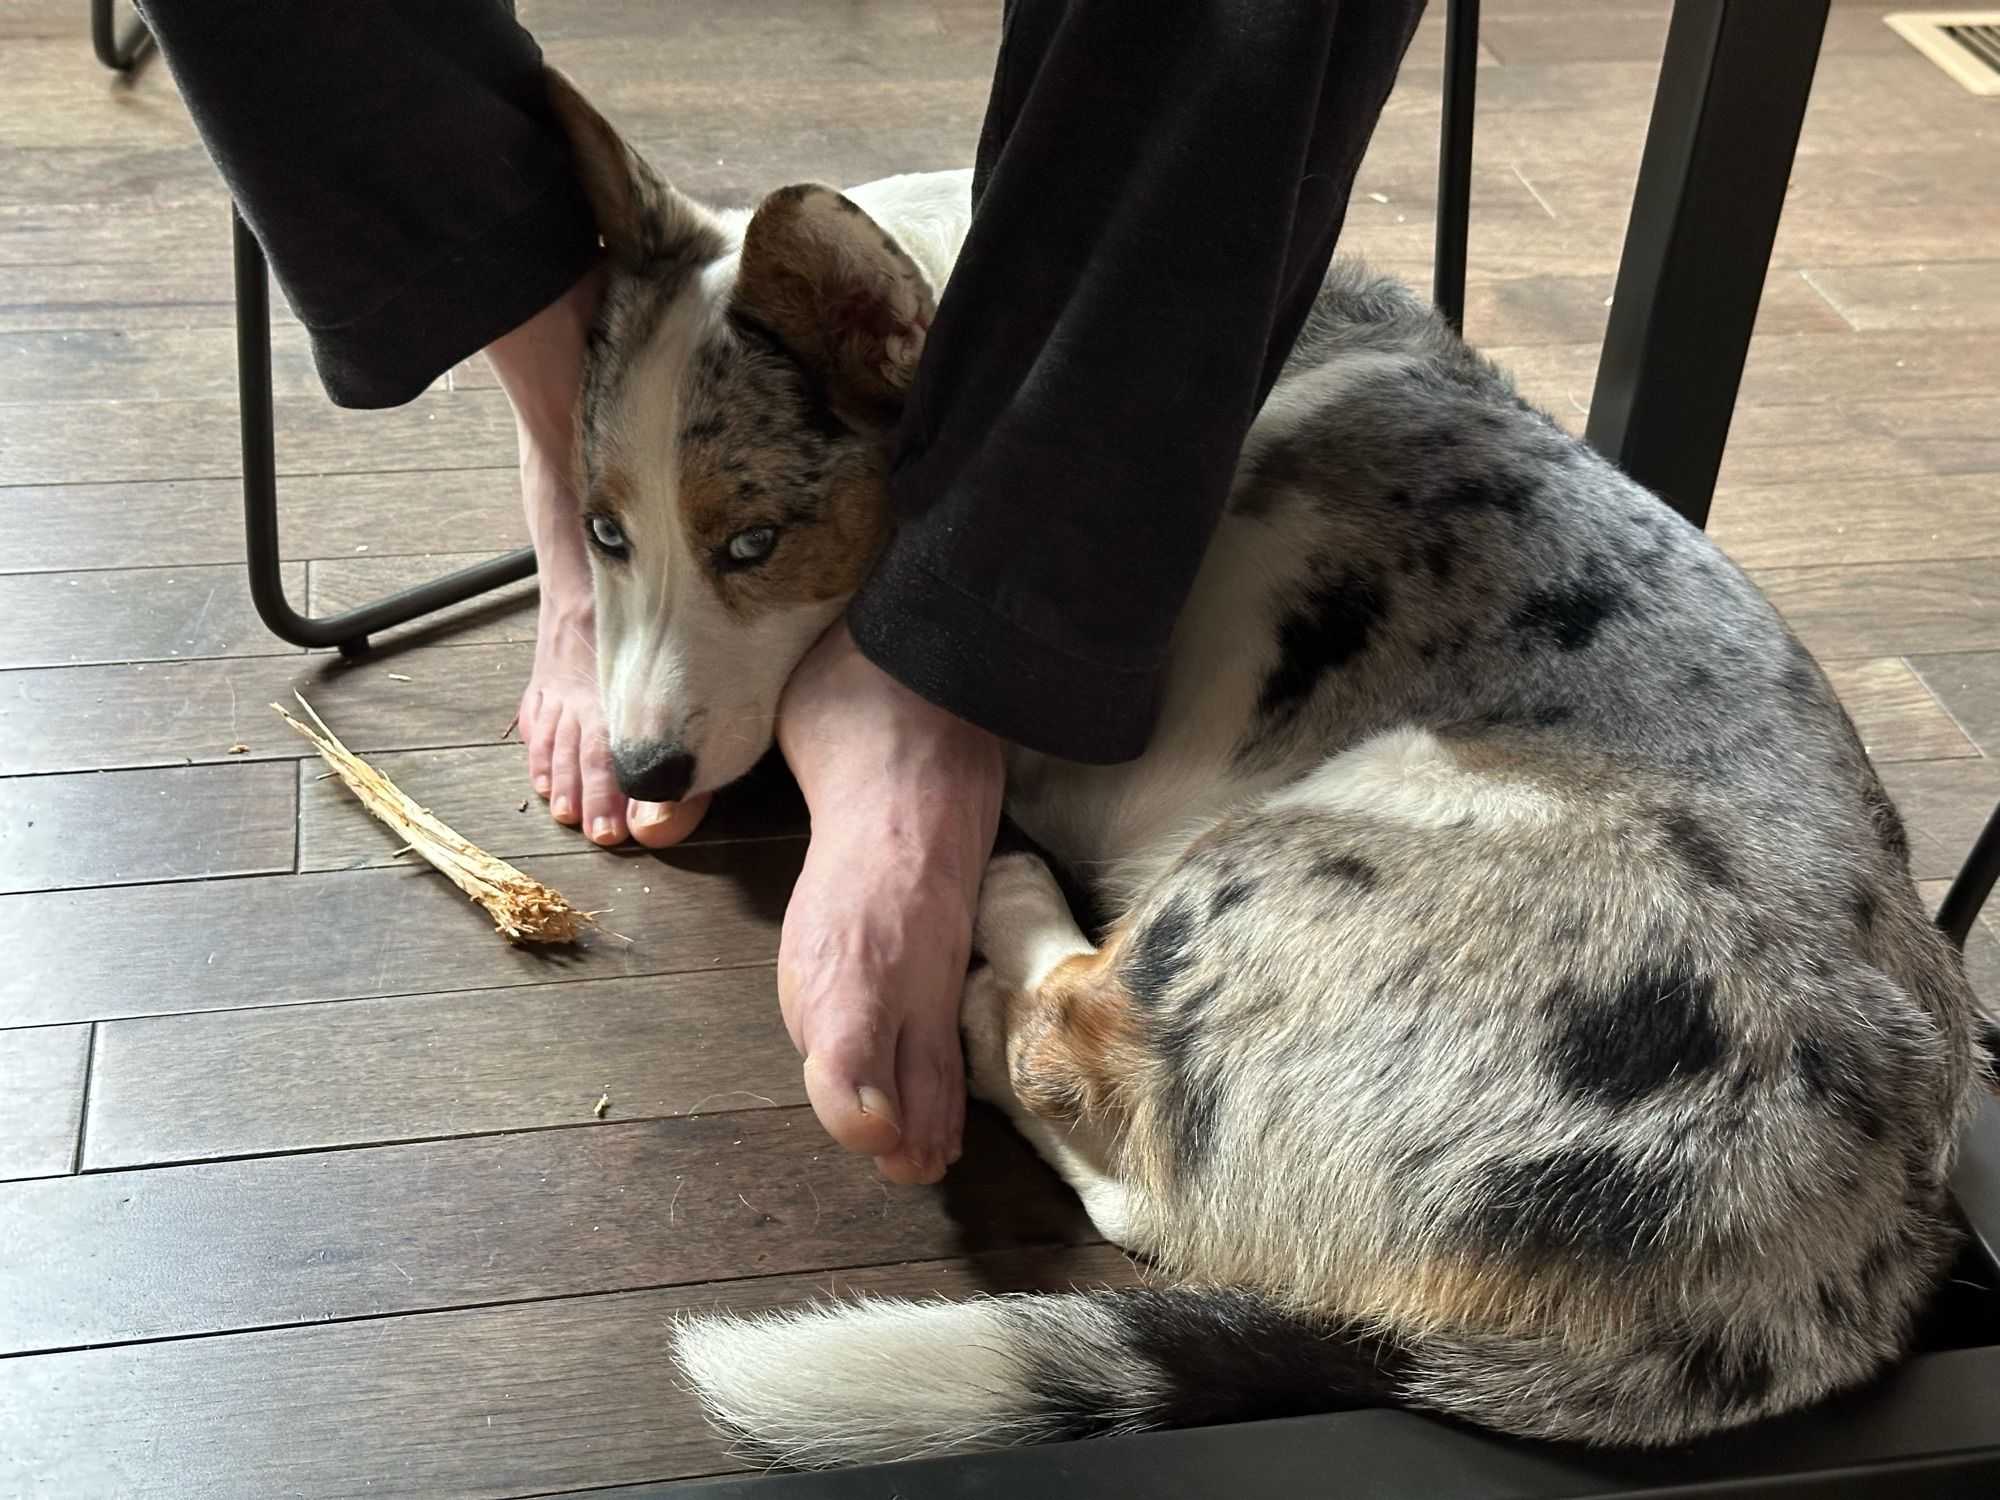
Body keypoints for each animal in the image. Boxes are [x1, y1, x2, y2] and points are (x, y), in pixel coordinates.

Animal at [544, 73, 1984, 1472]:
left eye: (755, 543)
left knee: (1076, 1045)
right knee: (1159, 1190)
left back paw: (993, 942)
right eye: (603, 533)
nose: (642, 767)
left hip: (1284, 844)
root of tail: (1828, 1273)